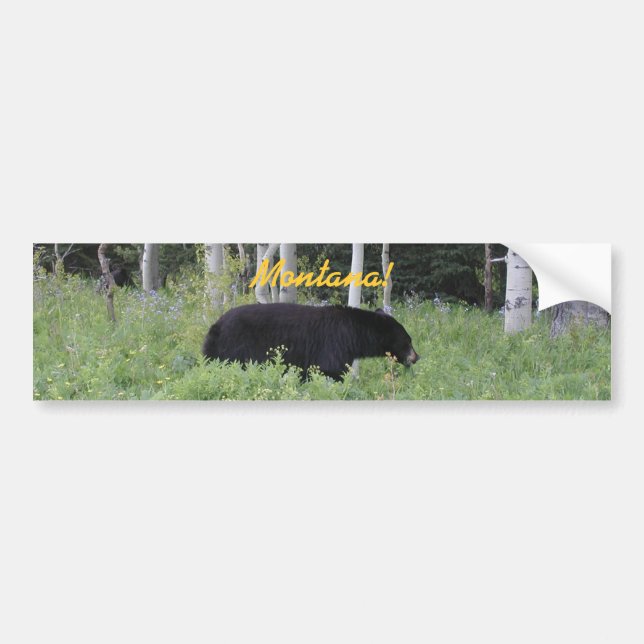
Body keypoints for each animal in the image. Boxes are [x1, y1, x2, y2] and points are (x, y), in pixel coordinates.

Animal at [202, 303, 420, 381]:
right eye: (408, 341)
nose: (417, 357)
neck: (354, 334)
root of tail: (216, 325)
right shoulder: (333, 345)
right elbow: (330, 370)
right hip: (236, 347)